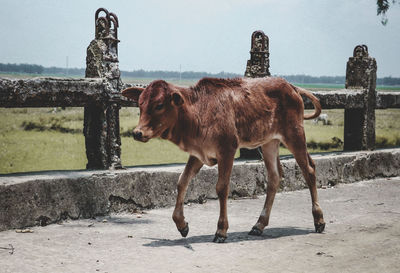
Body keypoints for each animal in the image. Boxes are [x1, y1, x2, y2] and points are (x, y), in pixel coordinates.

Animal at [122, 76, 324, 242]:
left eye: (159, 105)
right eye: (140, 104)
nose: (137, 132)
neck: (198, 112)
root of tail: (291, 86)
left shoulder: (227, 150)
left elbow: (221, 188)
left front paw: (221, 230)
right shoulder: (199, 154)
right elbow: (182, 181)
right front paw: (182, 224)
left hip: (295, 135)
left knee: (309, 171)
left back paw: (319, 220)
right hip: (269, 143)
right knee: (274, 177)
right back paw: (259, 225)